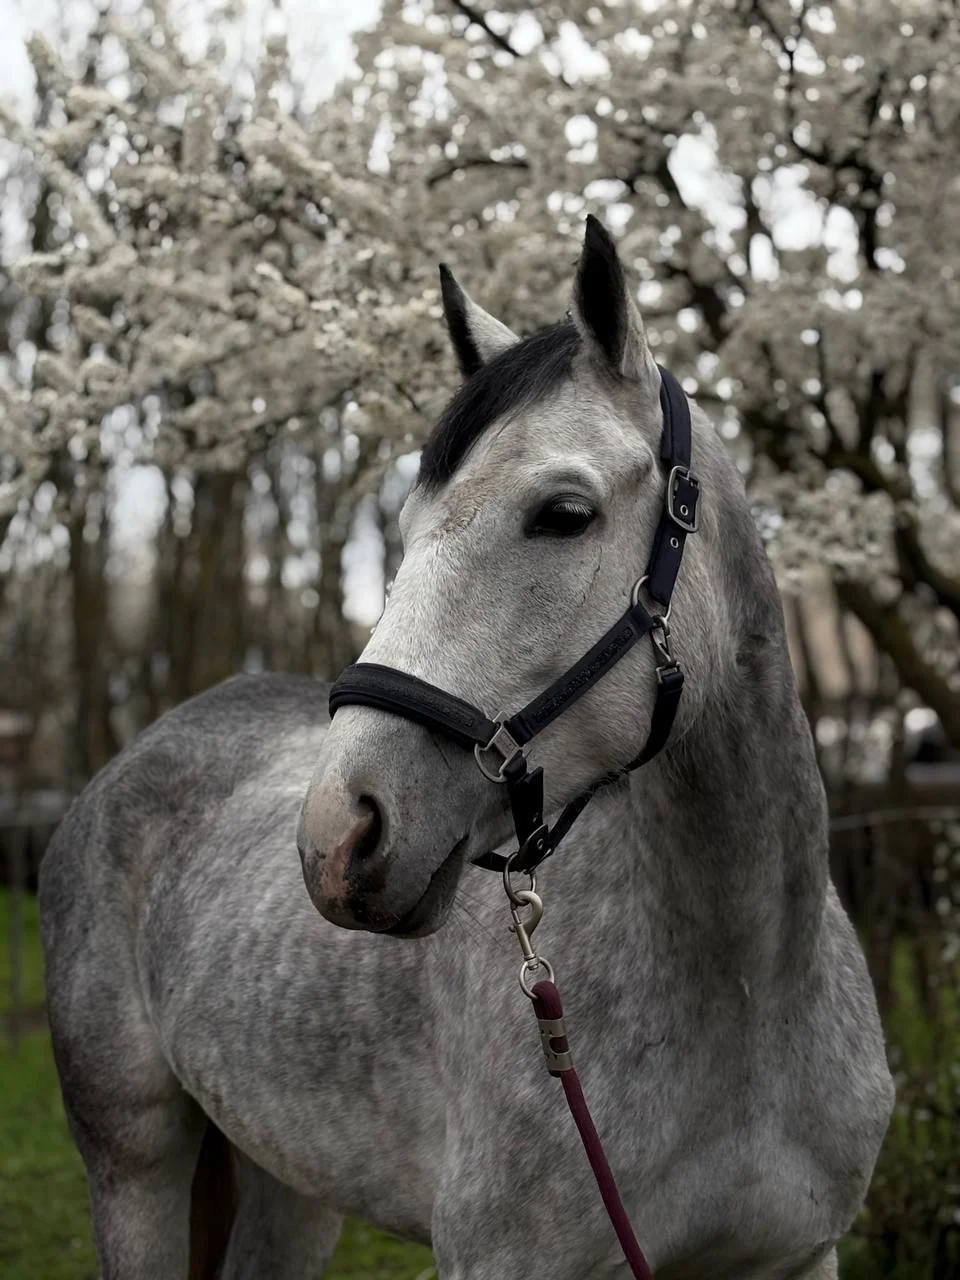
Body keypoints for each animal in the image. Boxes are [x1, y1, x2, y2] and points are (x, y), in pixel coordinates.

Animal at [40, 216, 893, 1279]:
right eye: (405, 526)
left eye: (563, 514)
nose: (339, 834)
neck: (748, 991)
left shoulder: (797, 1257)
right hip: (134, 1165)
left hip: (288, 1183)